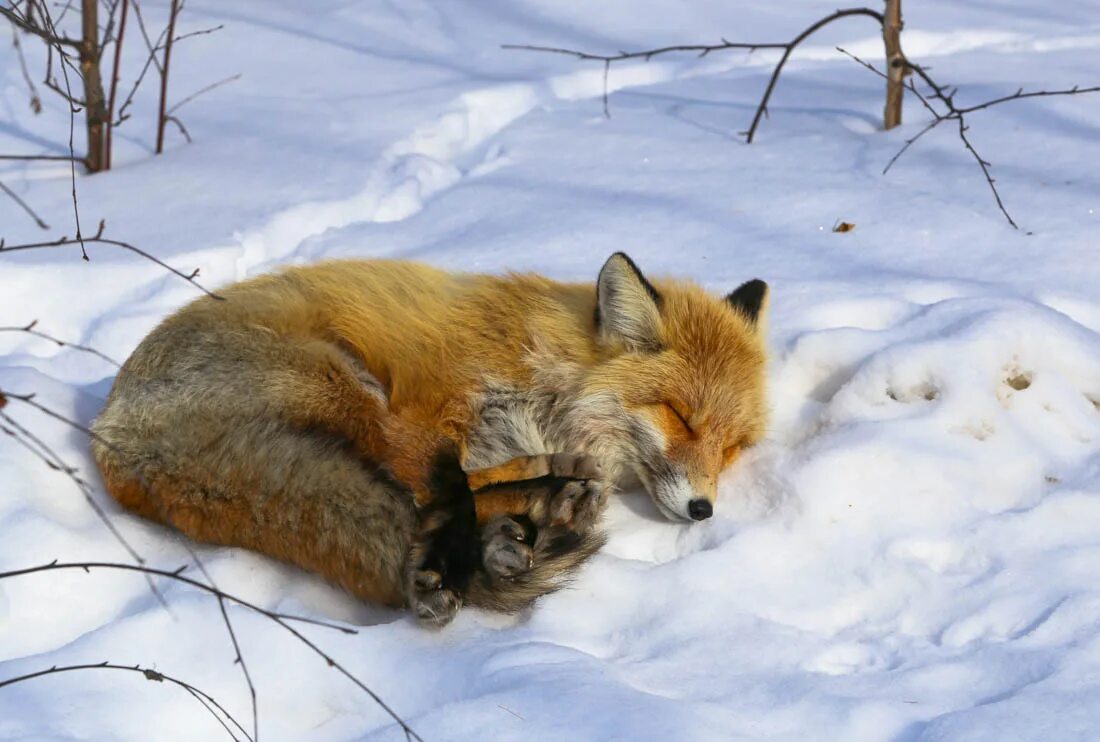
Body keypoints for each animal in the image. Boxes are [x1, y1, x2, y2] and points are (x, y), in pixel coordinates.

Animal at [92, 252, 765, 624]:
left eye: (733, 446)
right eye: (679, 416)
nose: (702, 510)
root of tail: (107, 430)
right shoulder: (426, 414)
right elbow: (445, 484)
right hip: (350, 387)